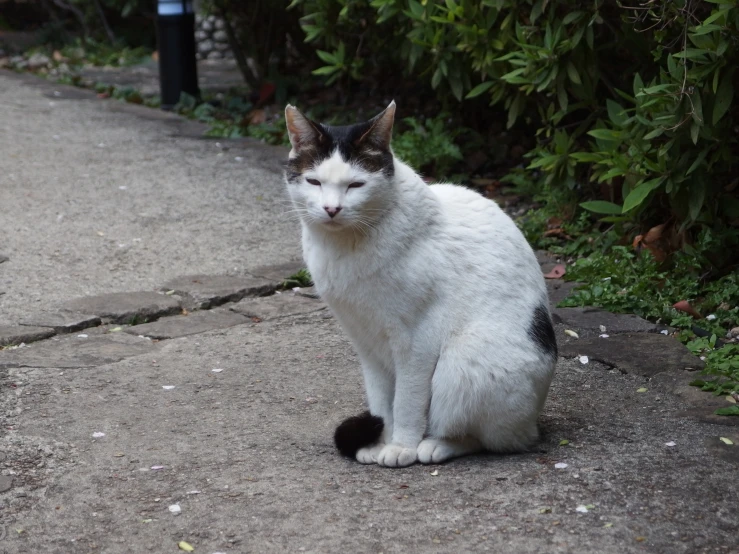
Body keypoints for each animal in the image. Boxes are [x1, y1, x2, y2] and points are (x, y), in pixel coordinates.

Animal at [284, 100, 556, 466]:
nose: (331, 208)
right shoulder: (366, 341)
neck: (346, 247)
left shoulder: (415, 342)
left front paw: (401, 446)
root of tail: (534, 423)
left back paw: (437, 445)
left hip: (463, 363)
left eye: (356, 185)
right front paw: (380, 440)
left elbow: (407, 401)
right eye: (313, 181)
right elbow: (381, 401)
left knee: (491, 438)